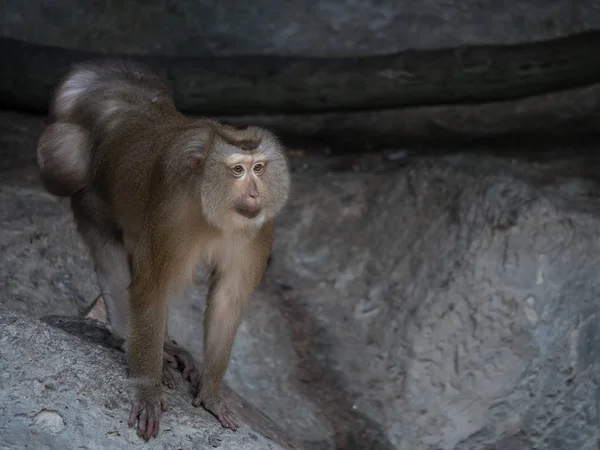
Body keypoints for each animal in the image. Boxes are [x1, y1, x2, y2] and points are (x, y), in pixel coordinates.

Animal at [36, 59, 292, 440]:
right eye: (237, 170)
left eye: (259, 168)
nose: (254, 193)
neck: (212, 209)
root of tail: (127, 113)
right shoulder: (171, 212)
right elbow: (149, 288)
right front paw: (148, 389)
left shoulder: (261, 226)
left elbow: (228, 300)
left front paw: (211, 392)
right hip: (90, 195)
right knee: (112, 257)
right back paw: (128, 339)